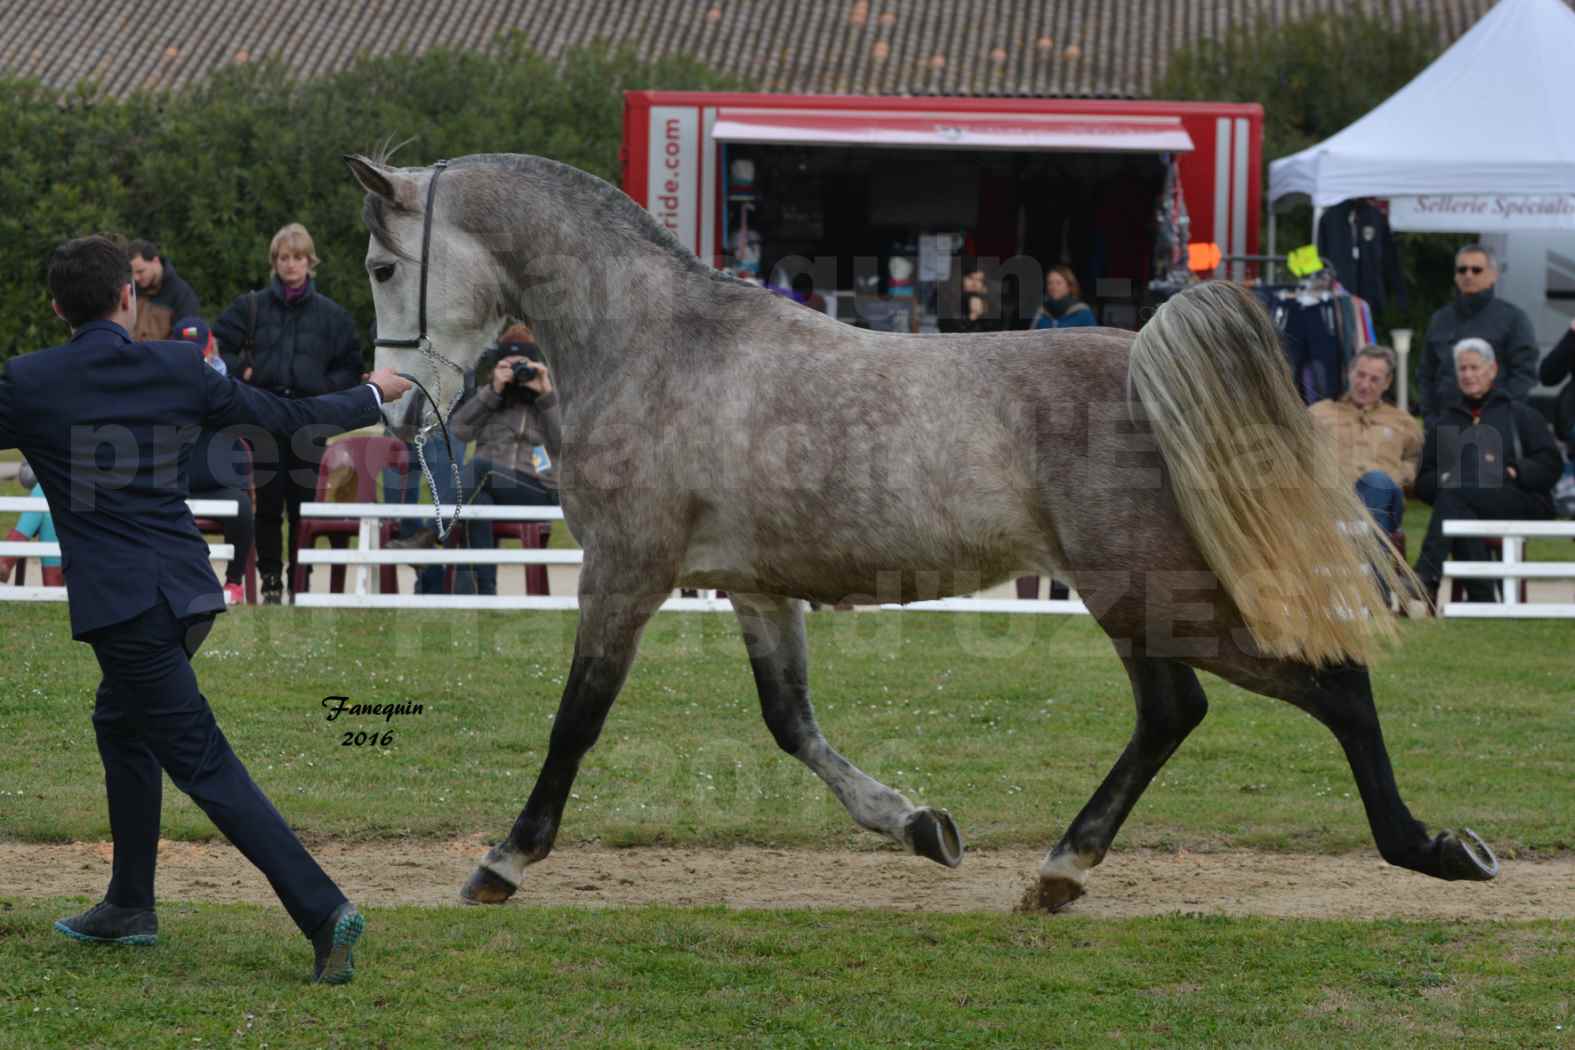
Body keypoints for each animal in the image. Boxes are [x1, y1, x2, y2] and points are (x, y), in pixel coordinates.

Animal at [344, 149, 1499, 913]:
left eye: (382, 268)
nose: (393, 407)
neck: (659, 347)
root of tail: (1147, 369)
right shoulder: (756, 588)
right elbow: (791, 724)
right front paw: (917, 826)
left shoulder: (627, 571)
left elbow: (576, 721)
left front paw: (503, 860)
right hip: (1139, 599)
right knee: (1177, 711)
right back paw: (1062, 872)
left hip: (1149, 591)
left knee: (1319, 683)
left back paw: (1430, 849)